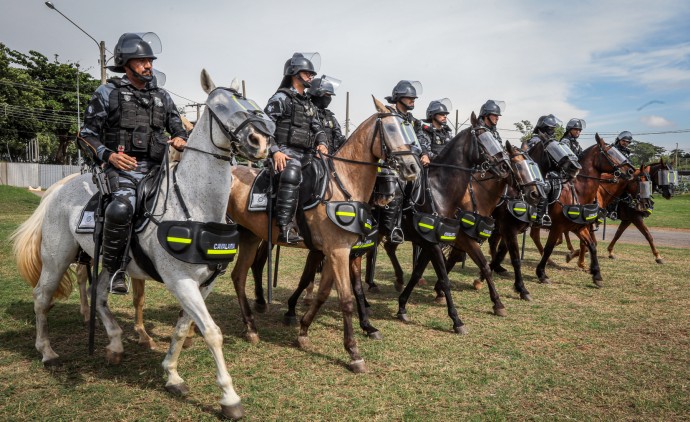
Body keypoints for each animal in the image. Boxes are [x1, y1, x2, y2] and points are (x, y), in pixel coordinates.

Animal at [11, 69, 268, 418]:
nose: (261, 141)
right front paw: (229, 397)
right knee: (41, 297)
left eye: (249, 100)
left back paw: (115, 344)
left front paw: (172, 374)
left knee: (99, 294)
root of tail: (61, 187)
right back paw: (47, 351)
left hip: (109, 260)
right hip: (57, 258)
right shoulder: (181, 281)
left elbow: (182, 328)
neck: (195, 204)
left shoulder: (204, 284)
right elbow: (212, 333)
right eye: (220, 106)